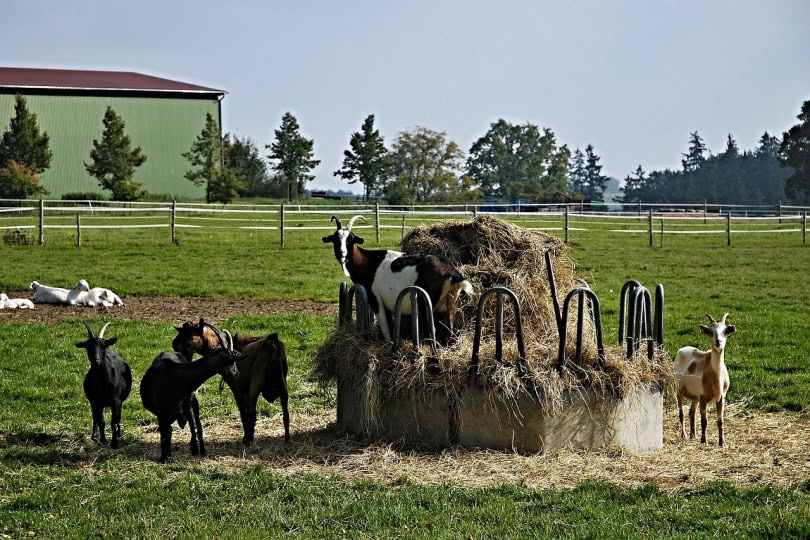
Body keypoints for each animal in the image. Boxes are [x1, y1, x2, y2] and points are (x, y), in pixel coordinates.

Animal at [140, 322, 244, 463]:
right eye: (229, 360)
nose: (236, 374)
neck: (175, 377)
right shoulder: (161, 413)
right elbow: (165, 433)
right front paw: (164, 458)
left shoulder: (187, 404)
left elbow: (193, 426)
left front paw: (194, 449)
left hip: (193, 403)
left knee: (196, 425)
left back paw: (202, 450)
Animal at [322, 215, 474, 342]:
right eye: (335, 239)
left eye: (350, 239)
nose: (342, 253)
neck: (367, 262)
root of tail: (452, 273)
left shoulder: (375, 299)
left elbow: (385, 327)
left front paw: (389, 345)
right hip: (451, 302)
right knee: (450, 329)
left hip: (427, 303)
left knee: (434, 329)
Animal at [675, 313, 737, 447]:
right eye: (710, 332)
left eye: (725, 331)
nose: (718, 342)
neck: (716, 379)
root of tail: (682, 349)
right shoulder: (703, 398)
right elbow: (705, 421)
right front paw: (704, 441)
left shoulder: (721, 398)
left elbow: (720, 421)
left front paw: (722, 443)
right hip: (679, 391)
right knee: (681, 413)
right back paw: (684, 435)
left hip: (695, 397)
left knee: (691, 413)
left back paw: (693, 435)